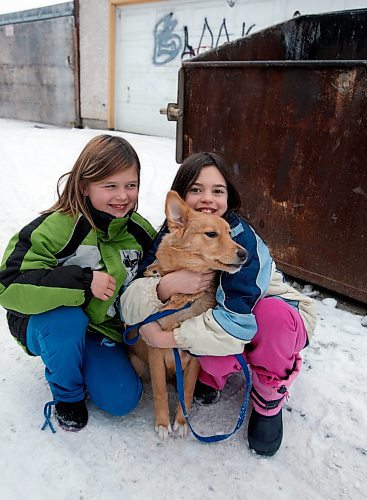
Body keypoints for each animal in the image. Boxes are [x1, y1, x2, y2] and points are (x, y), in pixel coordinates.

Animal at [129, 189, 247, 440]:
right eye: (211, 234)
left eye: (230, 233)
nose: (245, 254)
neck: (182, 300)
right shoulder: (155, 352)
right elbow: (161, 391)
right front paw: (163, 424)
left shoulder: (195, 357)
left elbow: (189, 390)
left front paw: (182, 422)